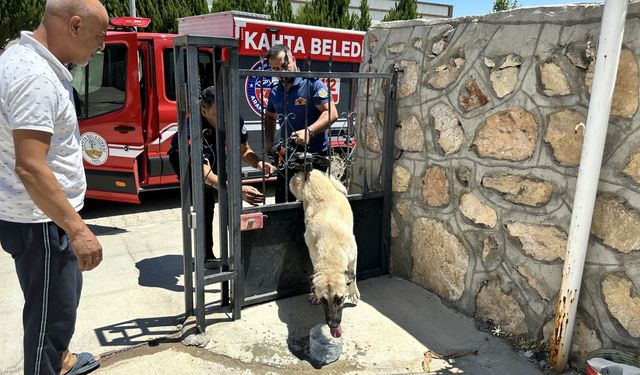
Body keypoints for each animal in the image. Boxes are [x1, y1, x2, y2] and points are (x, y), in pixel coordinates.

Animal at [290, 169, 360, 340]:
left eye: (340, 299)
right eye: (323, 300)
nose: (333, 325)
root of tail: (313, 172)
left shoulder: (354, 254)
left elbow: (354, 275)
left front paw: (353, 292)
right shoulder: (313, 255)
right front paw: (313, 295)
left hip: (339, 185)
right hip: (295, 186)